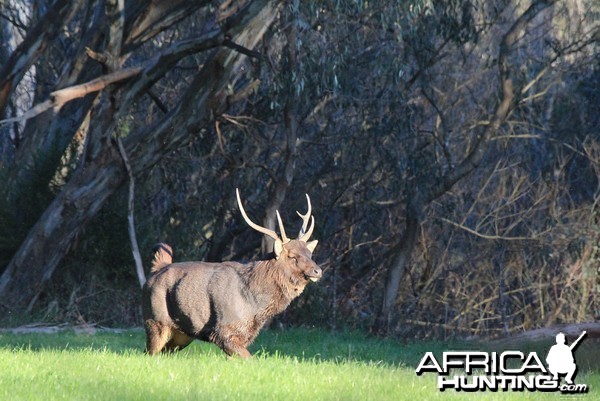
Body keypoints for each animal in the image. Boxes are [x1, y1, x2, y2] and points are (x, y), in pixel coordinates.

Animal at [142, 188, 322, 356]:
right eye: (292, 256)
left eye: (309, 253)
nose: (318, 270)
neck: (255, 305)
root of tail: (157, 269)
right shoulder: (223, 330)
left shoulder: (244, 334)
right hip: (155, 320)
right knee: (149, 352)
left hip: (182, 334)